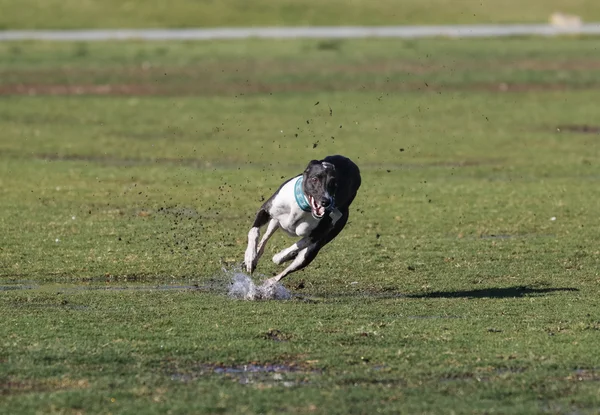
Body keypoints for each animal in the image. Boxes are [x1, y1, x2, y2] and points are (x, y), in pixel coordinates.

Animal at [244, 154, 360, 288]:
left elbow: (293, 249)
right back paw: (255, 257)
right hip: (275, 221)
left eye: (333, 183)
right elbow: (254, 232)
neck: (301, 206)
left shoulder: (317, 234)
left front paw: (280, 256)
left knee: (292, 264)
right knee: (265, 237)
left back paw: (271, 280)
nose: (326, 201)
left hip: (314, 248)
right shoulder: (266, 210)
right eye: (314, 179)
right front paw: (250, 257)